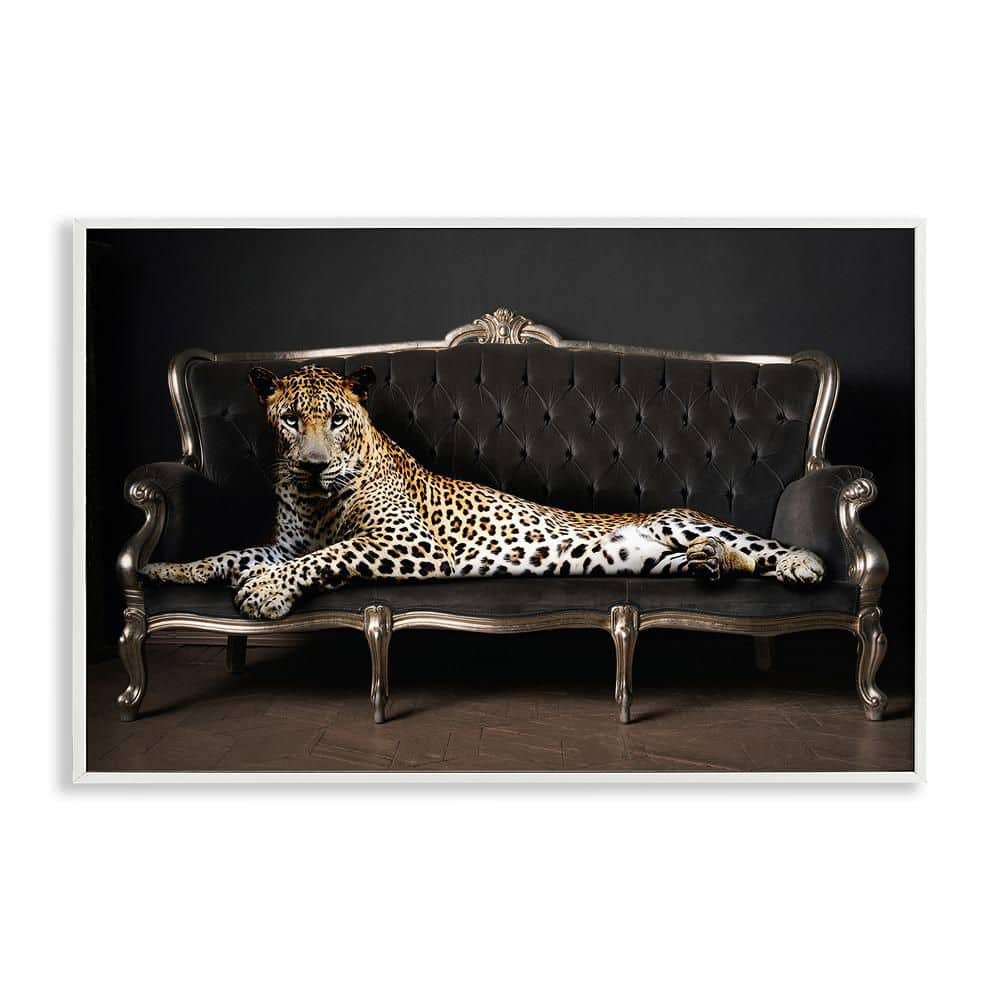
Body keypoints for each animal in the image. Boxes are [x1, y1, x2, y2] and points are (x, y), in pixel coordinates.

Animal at [142, 363, 826, 620]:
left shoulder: (409, 542)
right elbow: (232, 553)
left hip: (682, 521)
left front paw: (265, 593)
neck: (315, 500)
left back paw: (800, 562)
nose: (312, 465)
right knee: (720, 560)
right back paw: (711, 566)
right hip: (656, 558)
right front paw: (167, 570)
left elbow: (329, 555)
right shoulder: (283, 544)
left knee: (756, 547)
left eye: (337, 420)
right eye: (289, 420)